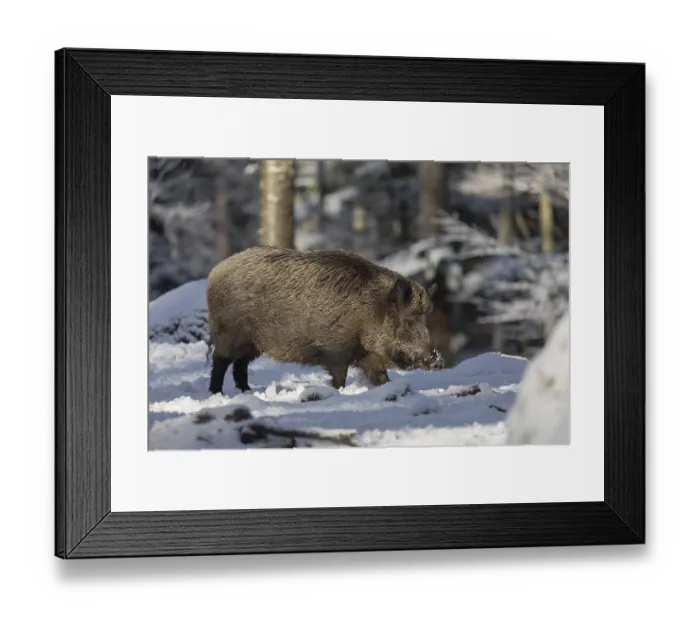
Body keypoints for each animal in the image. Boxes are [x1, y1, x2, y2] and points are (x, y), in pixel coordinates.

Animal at [206, 245, 444, 394]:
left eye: (425, 321)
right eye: (409, 321)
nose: (438, 361)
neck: (369, 313)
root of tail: (214, 273)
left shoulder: (369, 357)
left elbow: (382, 378)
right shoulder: (336, 350)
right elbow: (339, 378)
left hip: (252, 343)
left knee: (240, 365)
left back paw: (245, 392)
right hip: (229, 332)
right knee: (221, 361)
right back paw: (217, 393)